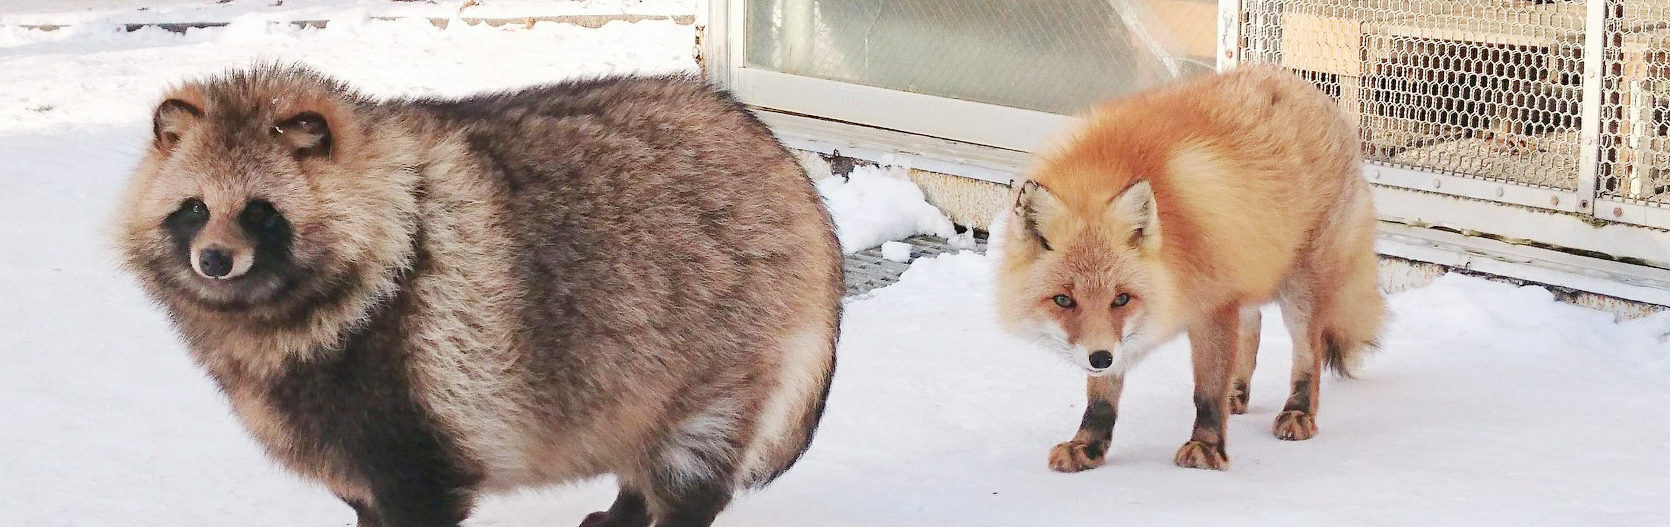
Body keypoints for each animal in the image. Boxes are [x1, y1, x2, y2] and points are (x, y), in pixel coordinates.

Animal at [111, 63, 841, 523]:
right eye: (195, 209)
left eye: (261, 212)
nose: (214, 260)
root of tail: (779, 158)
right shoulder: (346, 440)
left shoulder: (414, 419)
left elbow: (422, 492)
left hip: (727, 345)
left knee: (688, 463)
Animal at [995, 65, 1389, 473]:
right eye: (1063, 300)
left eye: (1121, 299)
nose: (1099, 358)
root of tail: (1307, 85)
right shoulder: (1135, 331)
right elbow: (1101, 397)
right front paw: (1087, 445)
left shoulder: (1212, 307)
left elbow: (1206, 391)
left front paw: (1207, 446)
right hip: (1248, 265)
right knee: (1252, 329)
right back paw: (1238, 392)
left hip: (1300, 289)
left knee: (1307, 353)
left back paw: (1298, 412)